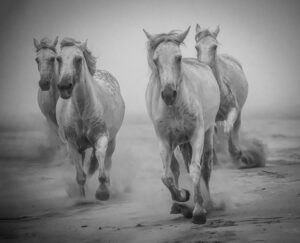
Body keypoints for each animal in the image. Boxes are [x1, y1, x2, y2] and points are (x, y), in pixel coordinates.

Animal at [55, 38, 125, 199]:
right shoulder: (72, 144)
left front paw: (102, 191)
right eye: (58, 59)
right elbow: (80, 175)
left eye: (78, 59)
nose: (64, 87)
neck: (82, 111)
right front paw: (83, 197)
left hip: (112, 142)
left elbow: (100, 157)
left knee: (107, 161)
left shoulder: (102, 137)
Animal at [144, 27, 219, 224]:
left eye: (178, 57)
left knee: (206, 168)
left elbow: (195, 169)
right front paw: (182, 197)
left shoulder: (196, 135)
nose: (169, 94)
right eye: (155, 60)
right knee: (177, 169)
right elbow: (166, 176)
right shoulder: (164, 141)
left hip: (207, 134)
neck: (175, 107)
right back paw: (179, 205)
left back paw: (209, 203)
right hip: (180, 143)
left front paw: (199, 211)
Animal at [196, 25, 264, 169]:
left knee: (236, 127)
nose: (203, 68)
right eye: (196, 47)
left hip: (239, 111)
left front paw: (237, 154)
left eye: (214, 46)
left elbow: (229, 128)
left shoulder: (233, 109)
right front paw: (213, 160)